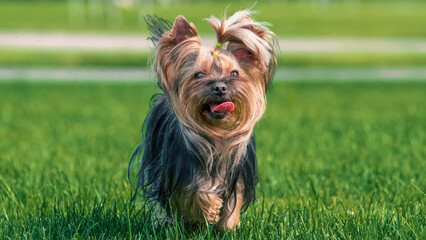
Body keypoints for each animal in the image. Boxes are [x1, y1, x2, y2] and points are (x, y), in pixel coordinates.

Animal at [129, 10, 276, 232]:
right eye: (198, 74)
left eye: (234, 73)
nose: (220, 87)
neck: (216, 135)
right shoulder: (178, 171)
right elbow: (193, 193)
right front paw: (208, 211)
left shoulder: (238, 175)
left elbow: (234, 201)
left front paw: (227, 226)